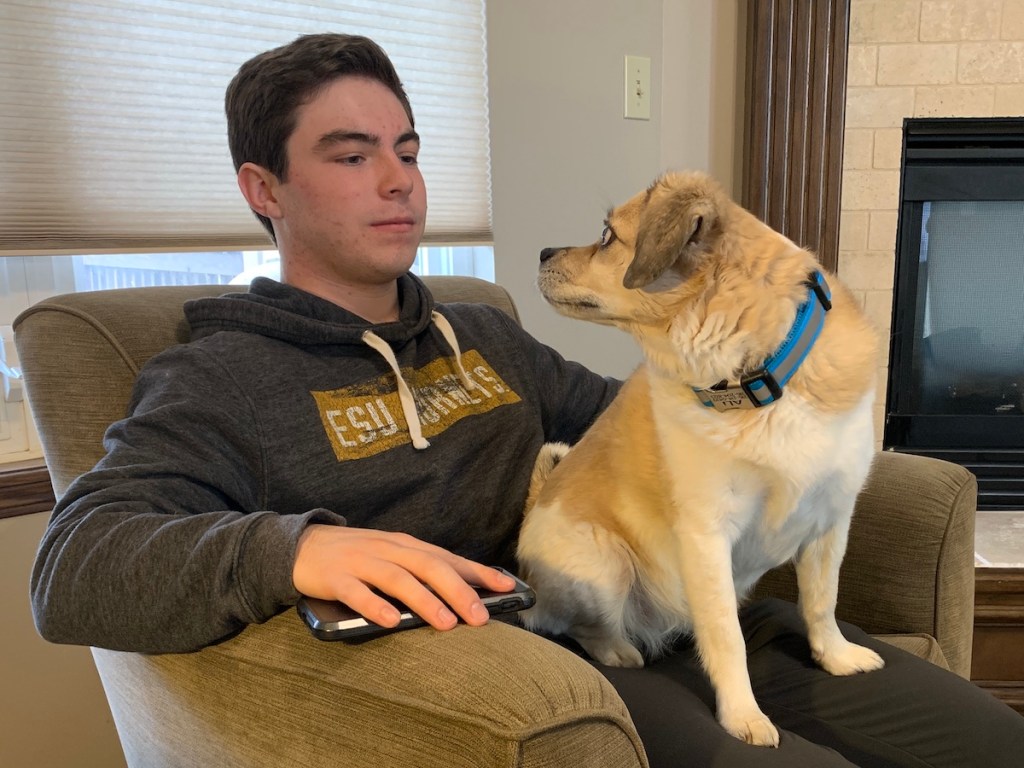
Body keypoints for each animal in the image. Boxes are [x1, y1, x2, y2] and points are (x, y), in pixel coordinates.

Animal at [517, 170, 884, 747]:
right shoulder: (707, 533)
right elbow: (726, 636)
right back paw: (619, 650)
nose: (542, 251)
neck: (755, 382)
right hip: (603, 565)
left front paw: (834, 656)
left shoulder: (831, 520)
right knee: (572, 626)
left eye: (606, 236)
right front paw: (742, 714)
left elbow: (822, 600)